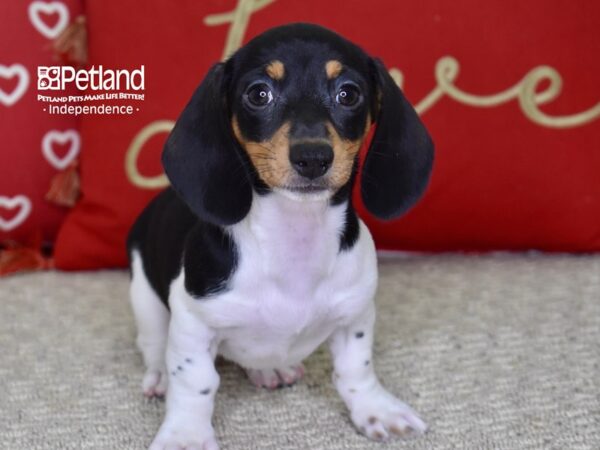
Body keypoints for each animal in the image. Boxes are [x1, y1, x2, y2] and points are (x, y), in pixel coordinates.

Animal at [129, 22, 434, 450]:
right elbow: (195, 383)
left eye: (349, 93)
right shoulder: (193, 321)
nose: (312, 158)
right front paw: (185, 435)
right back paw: (159, 375)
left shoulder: (355, 312)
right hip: (144, 294)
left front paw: (376, 409)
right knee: (154, 343)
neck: (294, 241)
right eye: (259, 93)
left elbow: (356, 369)